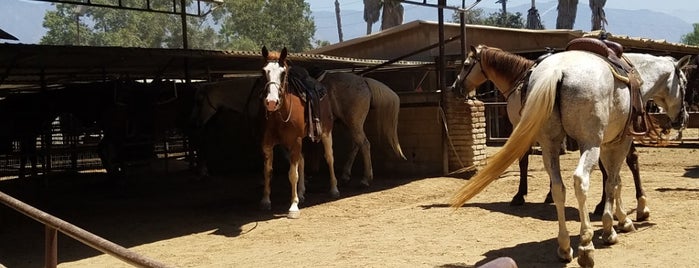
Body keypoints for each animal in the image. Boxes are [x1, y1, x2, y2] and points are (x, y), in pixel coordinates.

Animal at [262, 46, 340, 218]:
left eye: (283, 73)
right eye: (264, 71)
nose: (271, 102)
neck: (282, 113)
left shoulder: (295, 141)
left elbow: (292, 174)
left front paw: (293, 206)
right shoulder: (269, 143)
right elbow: (268, 171)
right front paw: (265, 200)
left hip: (326, 133)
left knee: (329, 157)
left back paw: (334, 189)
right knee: (302, 161)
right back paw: (302, 192)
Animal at [452, 45, 692, 266]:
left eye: (466, 65)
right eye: (685, 83)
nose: (683, 117)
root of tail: (557, 71)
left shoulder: (608, 142)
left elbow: (614, 180)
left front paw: (620, 218)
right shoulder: (617, 141)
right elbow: (613, 181)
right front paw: (612, 226)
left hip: (551, 144)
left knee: (560, 187)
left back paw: (565, 246)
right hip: (589, 144)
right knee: (581, 181)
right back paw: (586, 245)